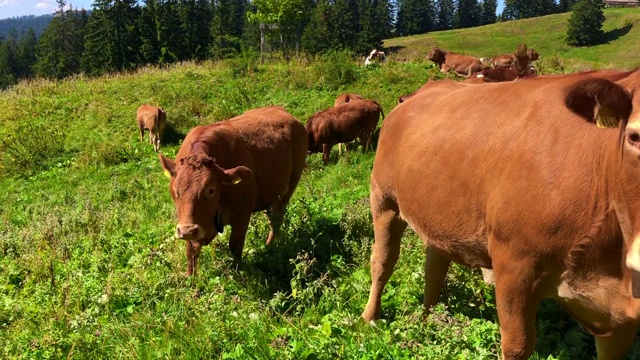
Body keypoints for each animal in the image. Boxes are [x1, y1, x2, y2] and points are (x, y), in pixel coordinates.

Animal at [160, 105, 310, 274]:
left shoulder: (242, 215)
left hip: (290, 186)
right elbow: (190, 251)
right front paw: (190, 277)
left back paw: (270, 246)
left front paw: (240, 272)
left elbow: (235, 246)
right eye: (176, 191)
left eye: (211, 190)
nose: (187, 230)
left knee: (277, 219)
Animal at [362, 69, 640, 358]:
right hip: (383, 198)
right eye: (634, 136)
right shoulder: (514, 264)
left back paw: (427, 318)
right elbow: (518, 345)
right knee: (382, 260)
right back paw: (370, 317)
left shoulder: (620, 320)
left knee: (434, 267)